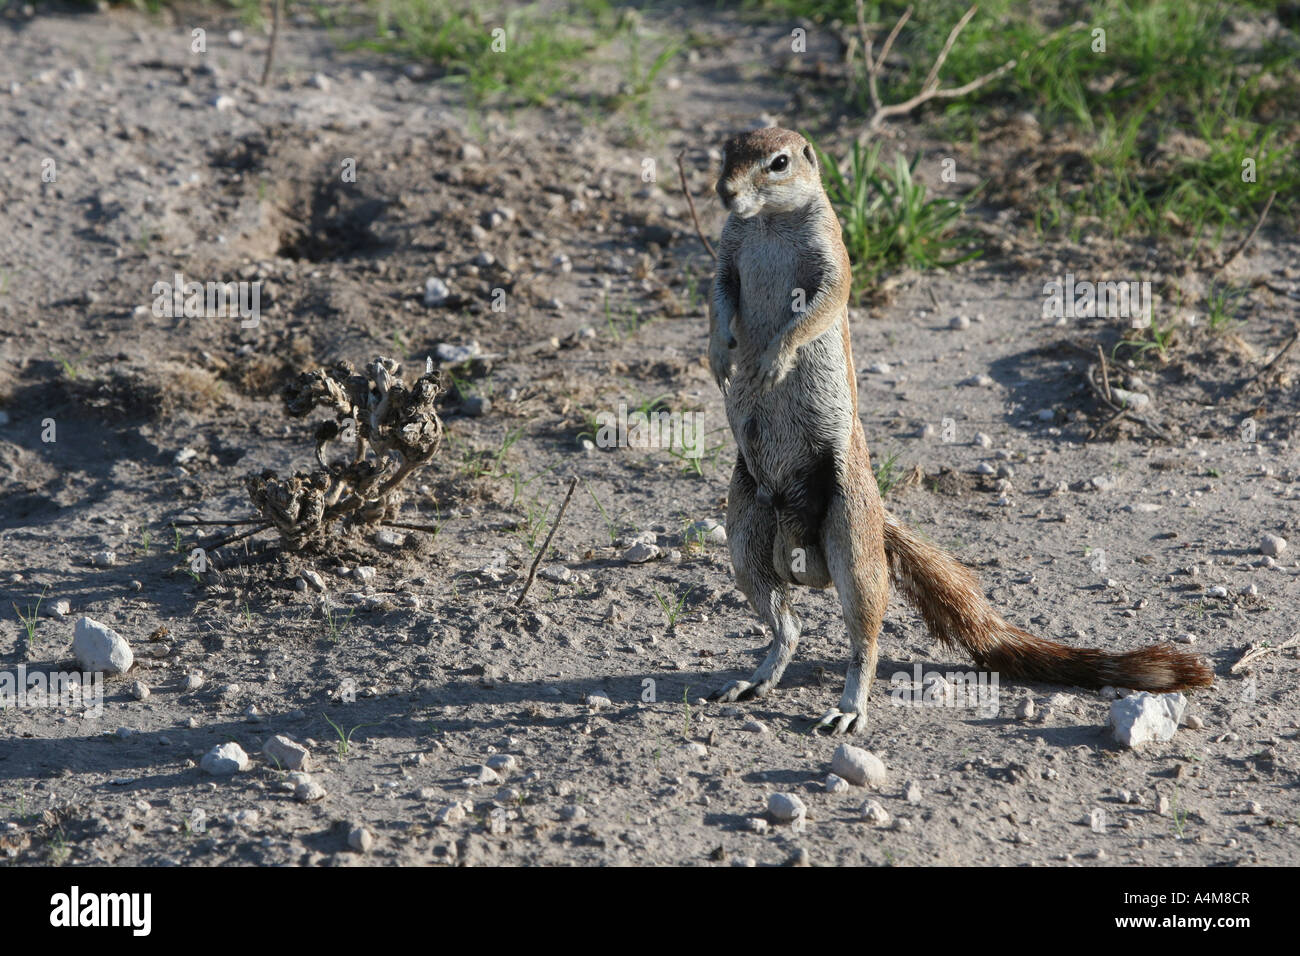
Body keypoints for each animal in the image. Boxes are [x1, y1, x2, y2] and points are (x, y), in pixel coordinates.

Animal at [707, 127, 1211, 738]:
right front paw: (719, 356)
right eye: (726, 151)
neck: (766, 224)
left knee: (865, 637)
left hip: (850, 531)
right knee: (789, 626)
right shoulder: (727, 257)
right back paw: (757, 678)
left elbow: (821, 305)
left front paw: (772, 359)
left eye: (778, 163)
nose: (724, 192)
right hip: (744, 527)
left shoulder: (832, 256)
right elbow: (719, 298)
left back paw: (851, 707)